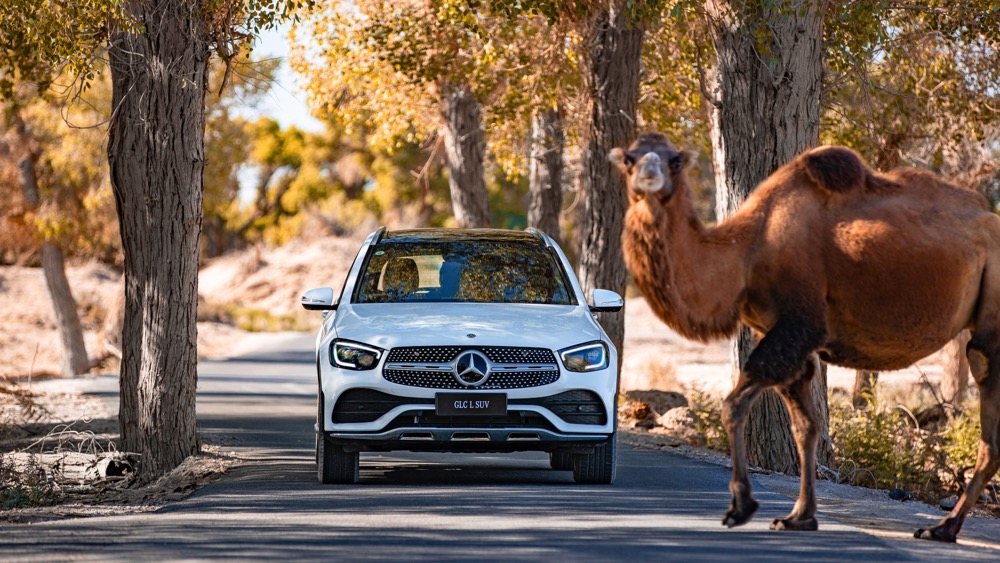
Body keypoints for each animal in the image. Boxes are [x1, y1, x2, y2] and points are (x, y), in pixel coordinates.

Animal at [608, 131, 1000, 540]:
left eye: (674, 162)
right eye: (630, 159)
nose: (649, 177)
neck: (747, 251)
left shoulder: (800, 323)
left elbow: (732, 405)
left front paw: (741, 507)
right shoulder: (786, 338)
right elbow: (805, 427)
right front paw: (799, 516)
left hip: (992, 308)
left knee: (985, 389)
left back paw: (943, 527)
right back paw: (944, 526)